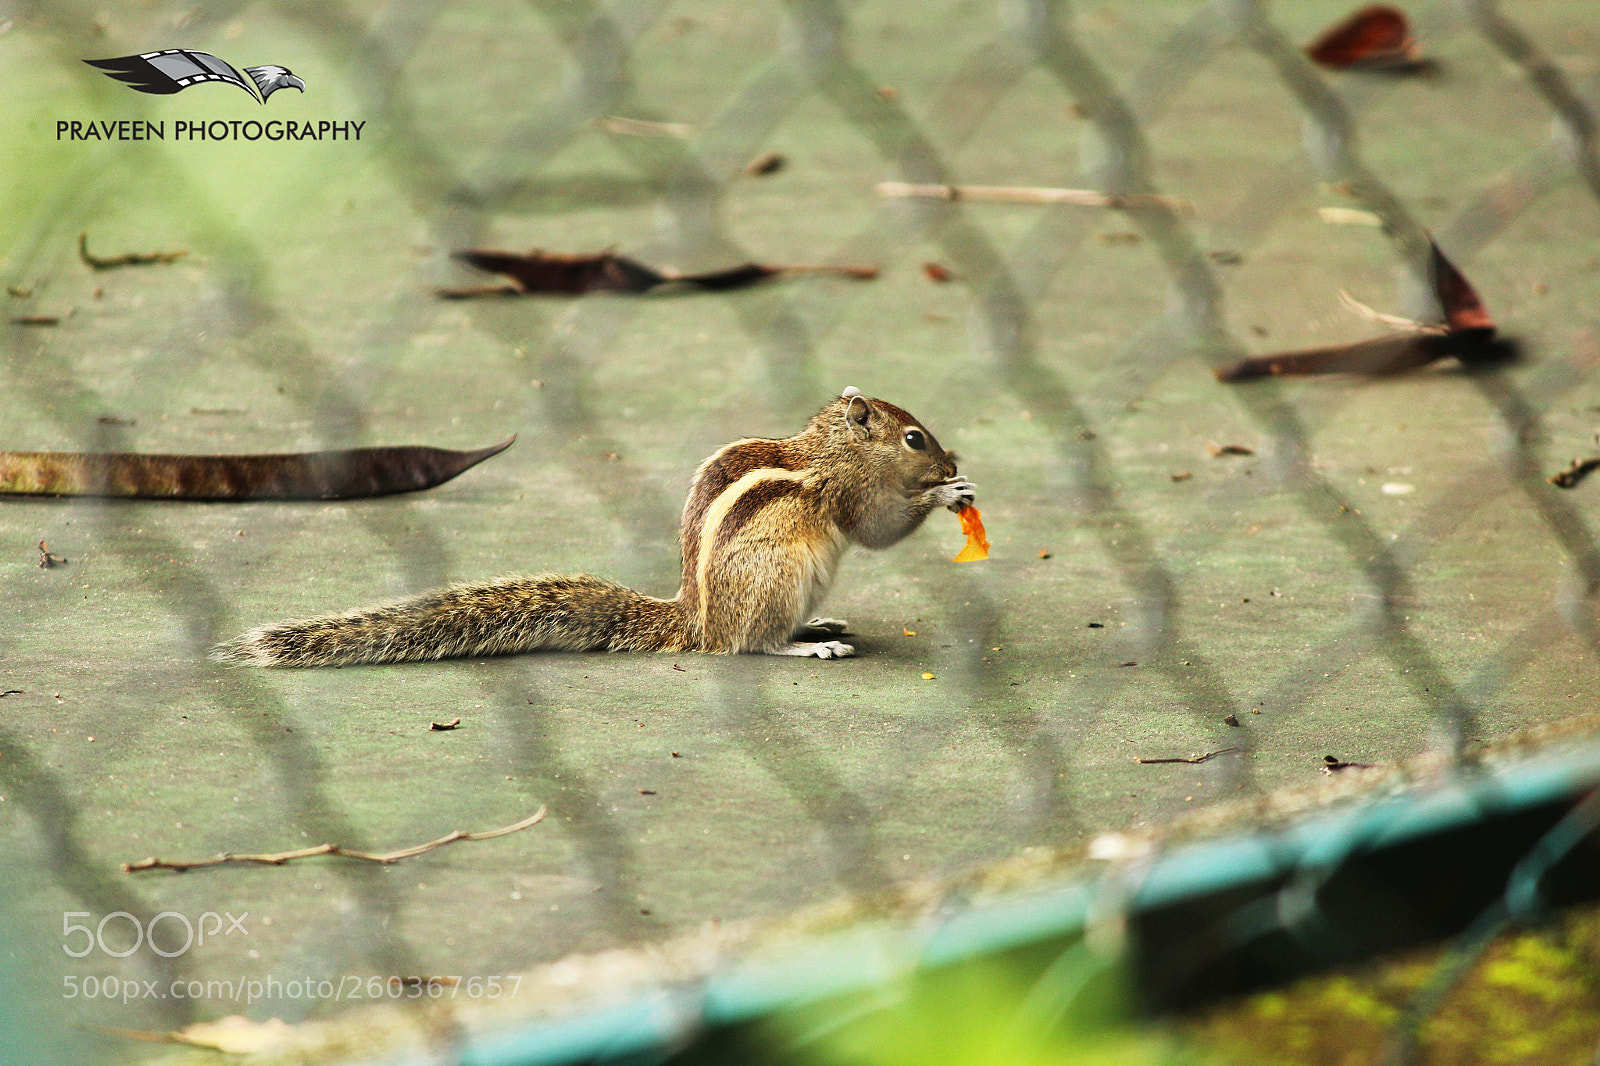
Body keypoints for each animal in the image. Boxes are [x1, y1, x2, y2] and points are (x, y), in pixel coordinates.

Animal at [212, 387, 975, 667]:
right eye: (914, 439)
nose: (952, 460)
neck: (828, 446)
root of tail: (694, 619)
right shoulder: (850, 493)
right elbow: (878, 527)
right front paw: (947, 493)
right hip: (777, 577)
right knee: (746, 645)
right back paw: (805, 646)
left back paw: (819, 625)